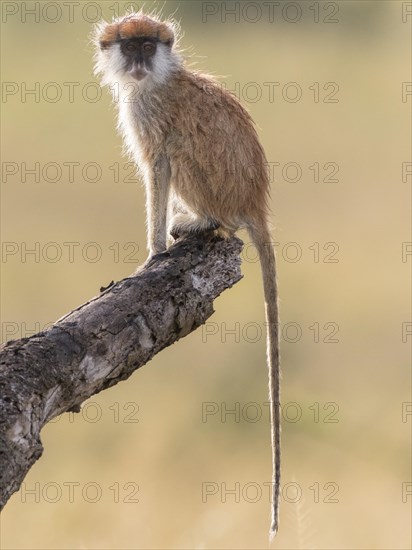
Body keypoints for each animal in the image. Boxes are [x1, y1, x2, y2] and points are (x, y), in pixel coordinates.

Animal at [93, 11, 280, 540]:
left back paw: (203, 222)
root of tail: (252, 202)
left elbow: (157, 163)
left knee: (179, 151)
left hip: (213, 183)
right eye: (129, 46)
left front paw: (154, 251)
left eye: (147, 46)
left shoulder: (148, 112)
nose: (137, 63)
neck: (158, 79)